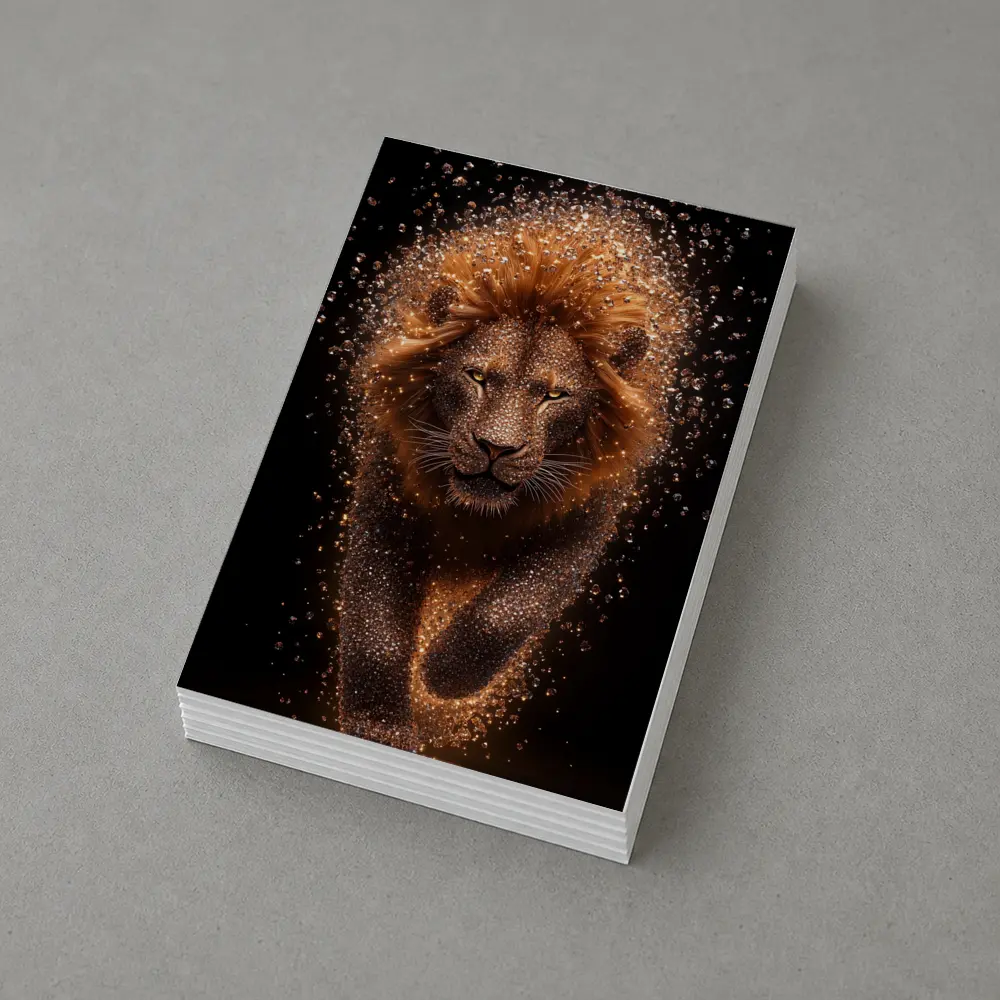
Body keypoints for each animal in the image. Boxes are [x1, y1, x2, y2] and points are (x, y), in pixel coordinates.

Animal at [335, 202, 686, 749]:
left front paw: (444, 676)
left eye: (554, 395)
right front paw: (376, 730)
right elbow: (375, 627)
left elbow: (505, 613)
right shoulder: (388, 493)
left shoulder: (586, 517)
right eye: (477, 376)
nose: (496, 447)